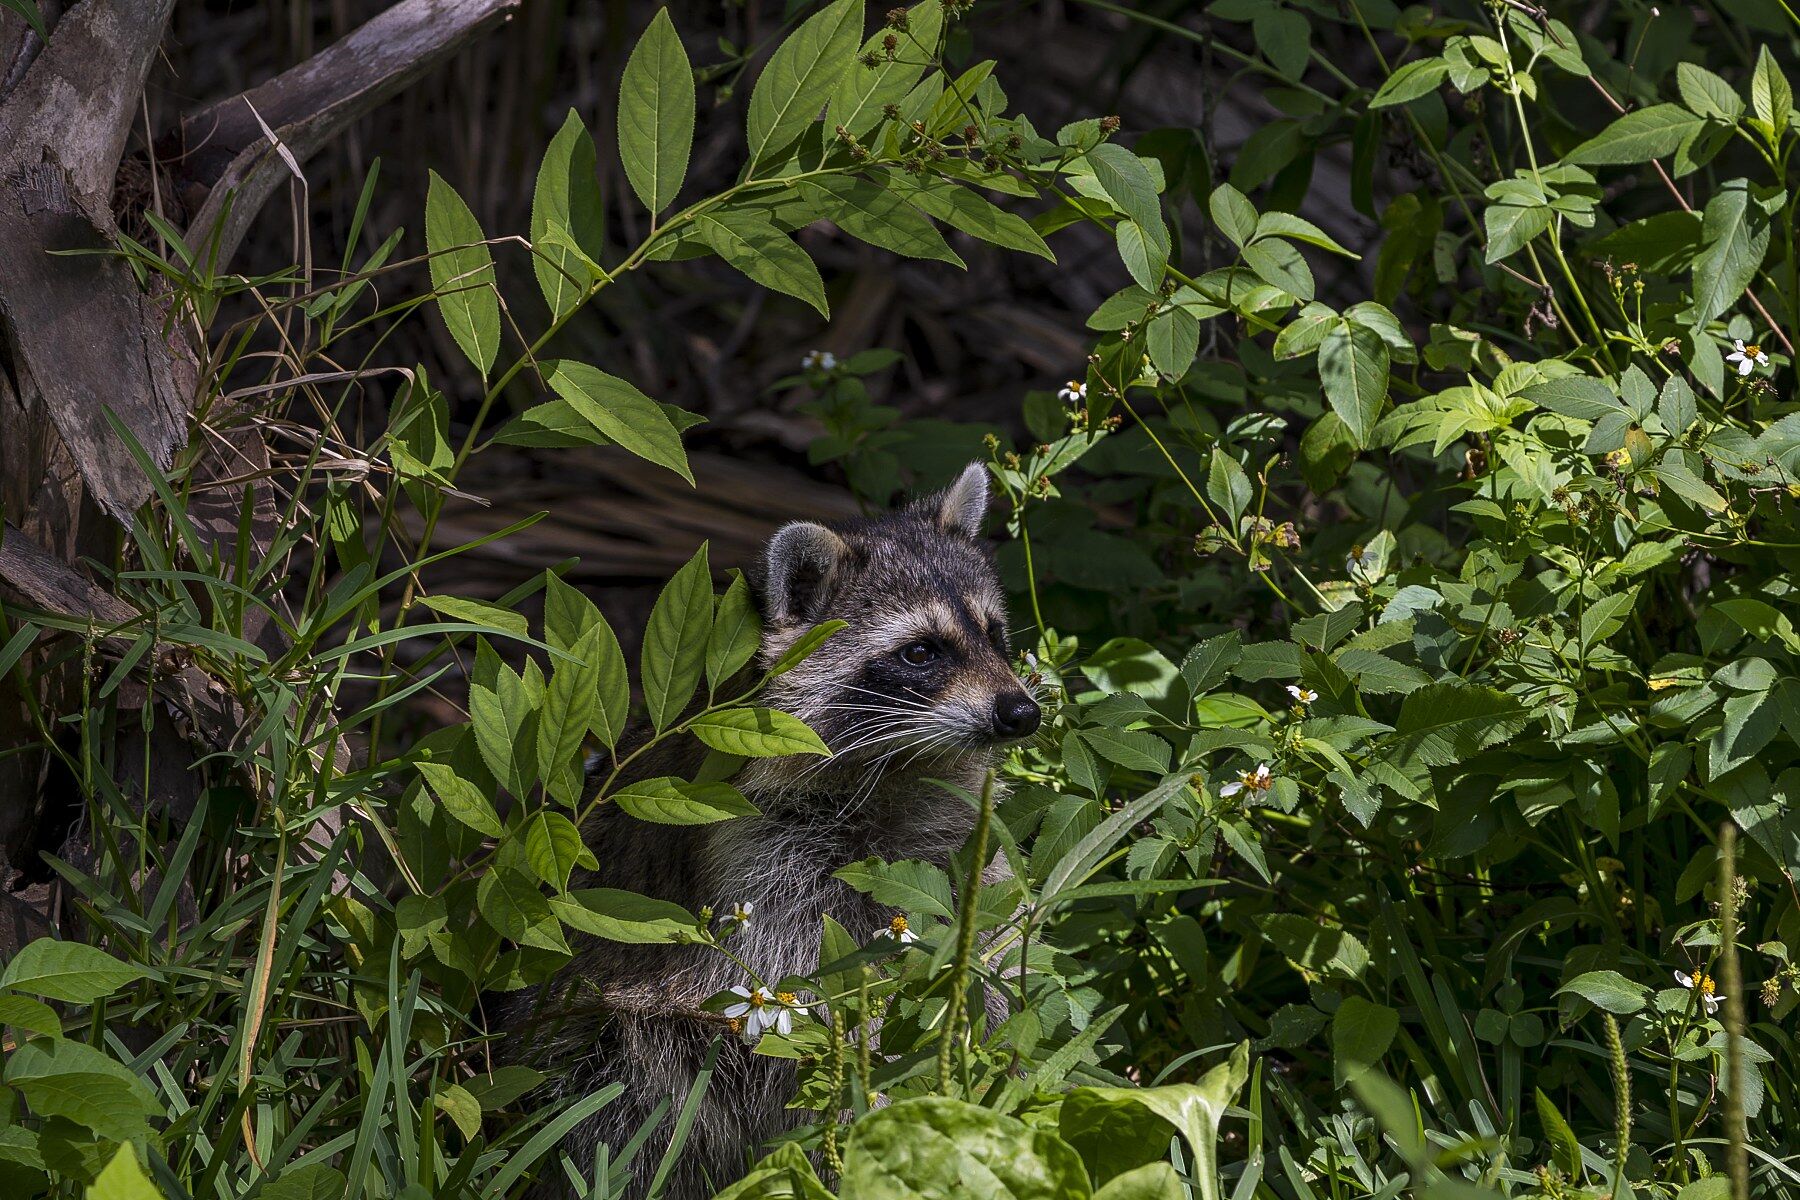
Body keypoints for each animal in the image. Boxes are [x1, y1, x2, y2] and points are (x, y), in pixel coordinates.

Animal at [508, 462, 1039, 1200]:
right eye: (921, 652)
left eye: (992, 633)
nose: (1023, 713)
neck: (896, 770)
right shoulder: (762, 862)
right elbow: (808, 1002)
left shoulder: (955, 852)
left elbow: (984, 955)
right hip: (605, 1036)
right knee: (635, 1096)